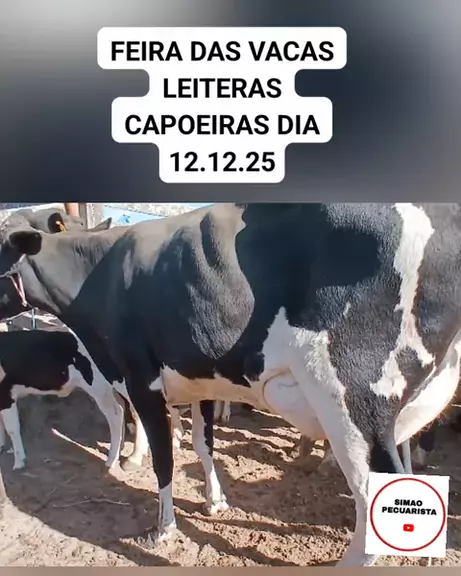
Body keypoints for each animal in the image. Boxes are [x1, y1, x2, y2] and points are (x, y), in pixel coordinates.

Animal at [0, 202, 458, 567]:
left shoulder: (141, 379)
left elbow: (165, 458)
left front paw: (164, 527)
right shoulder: (200, 380)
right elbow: (203, 444)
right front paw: (215, 500)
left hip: (352, 401)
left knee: (373, 495)